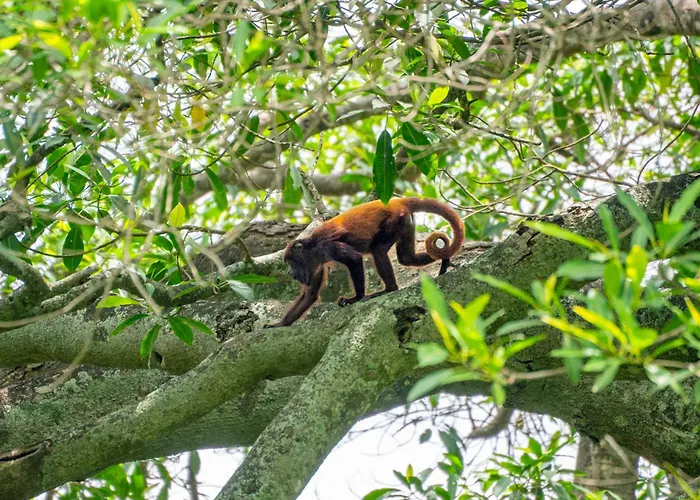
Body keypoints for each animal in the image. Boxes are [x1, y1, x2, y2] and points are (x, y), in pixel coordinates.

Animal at [265, 197, 465, 328]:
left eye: (290, 263)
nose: (289, 272)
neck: (311, 248)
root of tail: (397, 201)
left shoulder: (326, 245)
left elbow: (354, 258)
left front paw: (356, 298)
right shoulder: (315, 265)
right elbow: (311, 294)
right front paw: (280, 324)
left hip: (394, 219)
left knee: (378, 251)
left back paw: (389, 288)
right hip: (406, 222)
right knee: (406, 257)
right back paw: (444, 259)